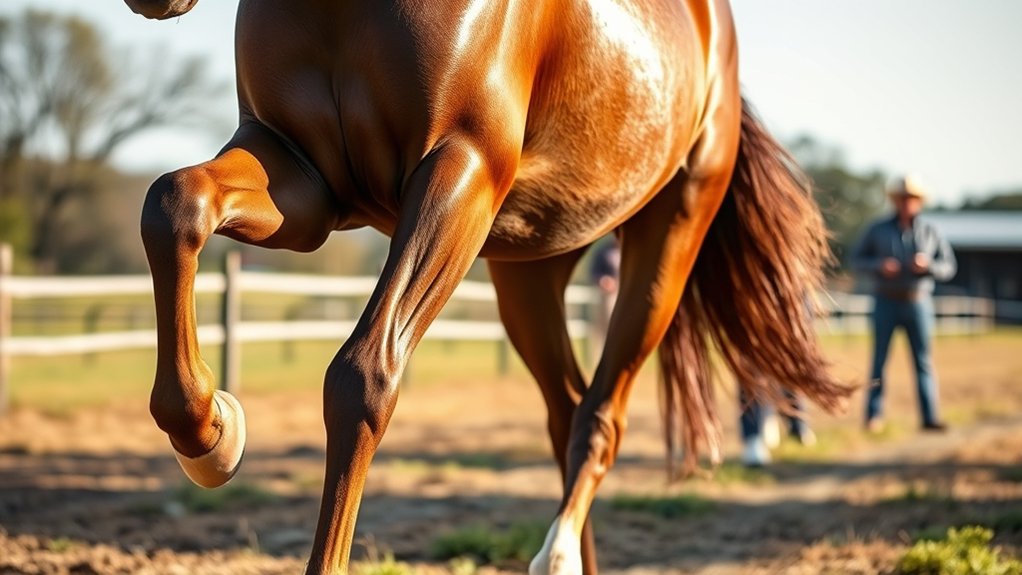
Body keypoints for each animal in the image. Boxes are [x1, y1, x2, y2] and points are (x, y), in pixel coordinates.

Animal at [124, 0, 846, 573]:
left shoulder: (460, 167)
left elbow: (363, 375)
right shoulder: (300, 178)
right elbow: (173, 202)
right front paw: (210, 433)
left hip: (666, 242)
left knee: (600, 417)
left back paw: (555, 556)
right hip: (529, 266)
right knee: (566, 411)